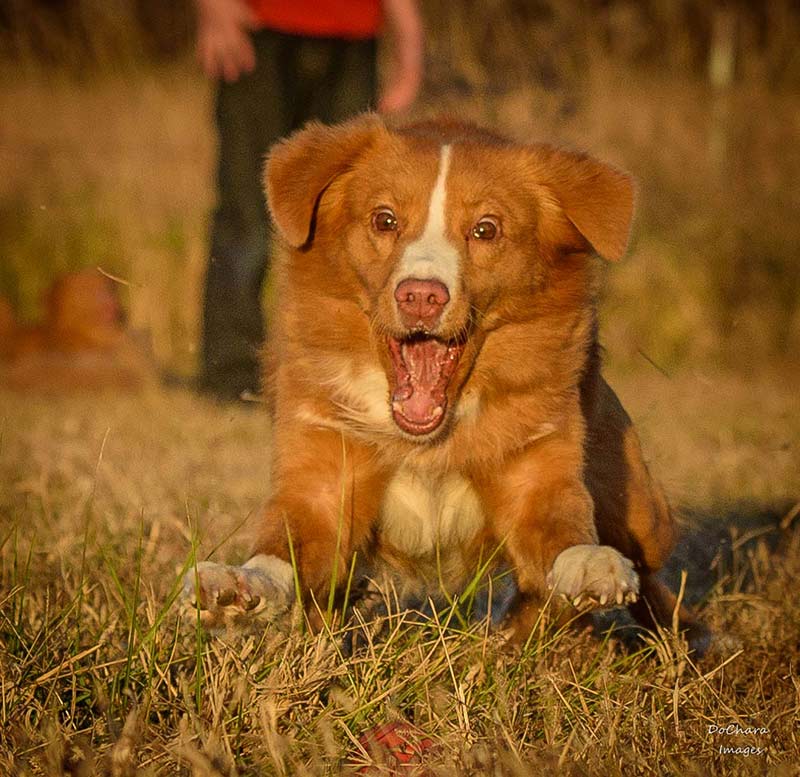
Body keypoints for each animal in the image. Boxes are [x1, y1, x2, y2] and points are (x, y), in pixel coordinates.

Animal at [186, 113, 708, 648]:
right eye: (385, 220)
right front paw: (240, 586)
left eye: (485, 229)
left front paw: (588, 564)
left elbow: (559, 528)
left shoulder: (538, 467)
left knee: (646, 572)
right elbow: (286, 546)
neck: (428, 440)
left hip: (636, 505)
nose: (421, 295)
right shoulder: (324, 472)